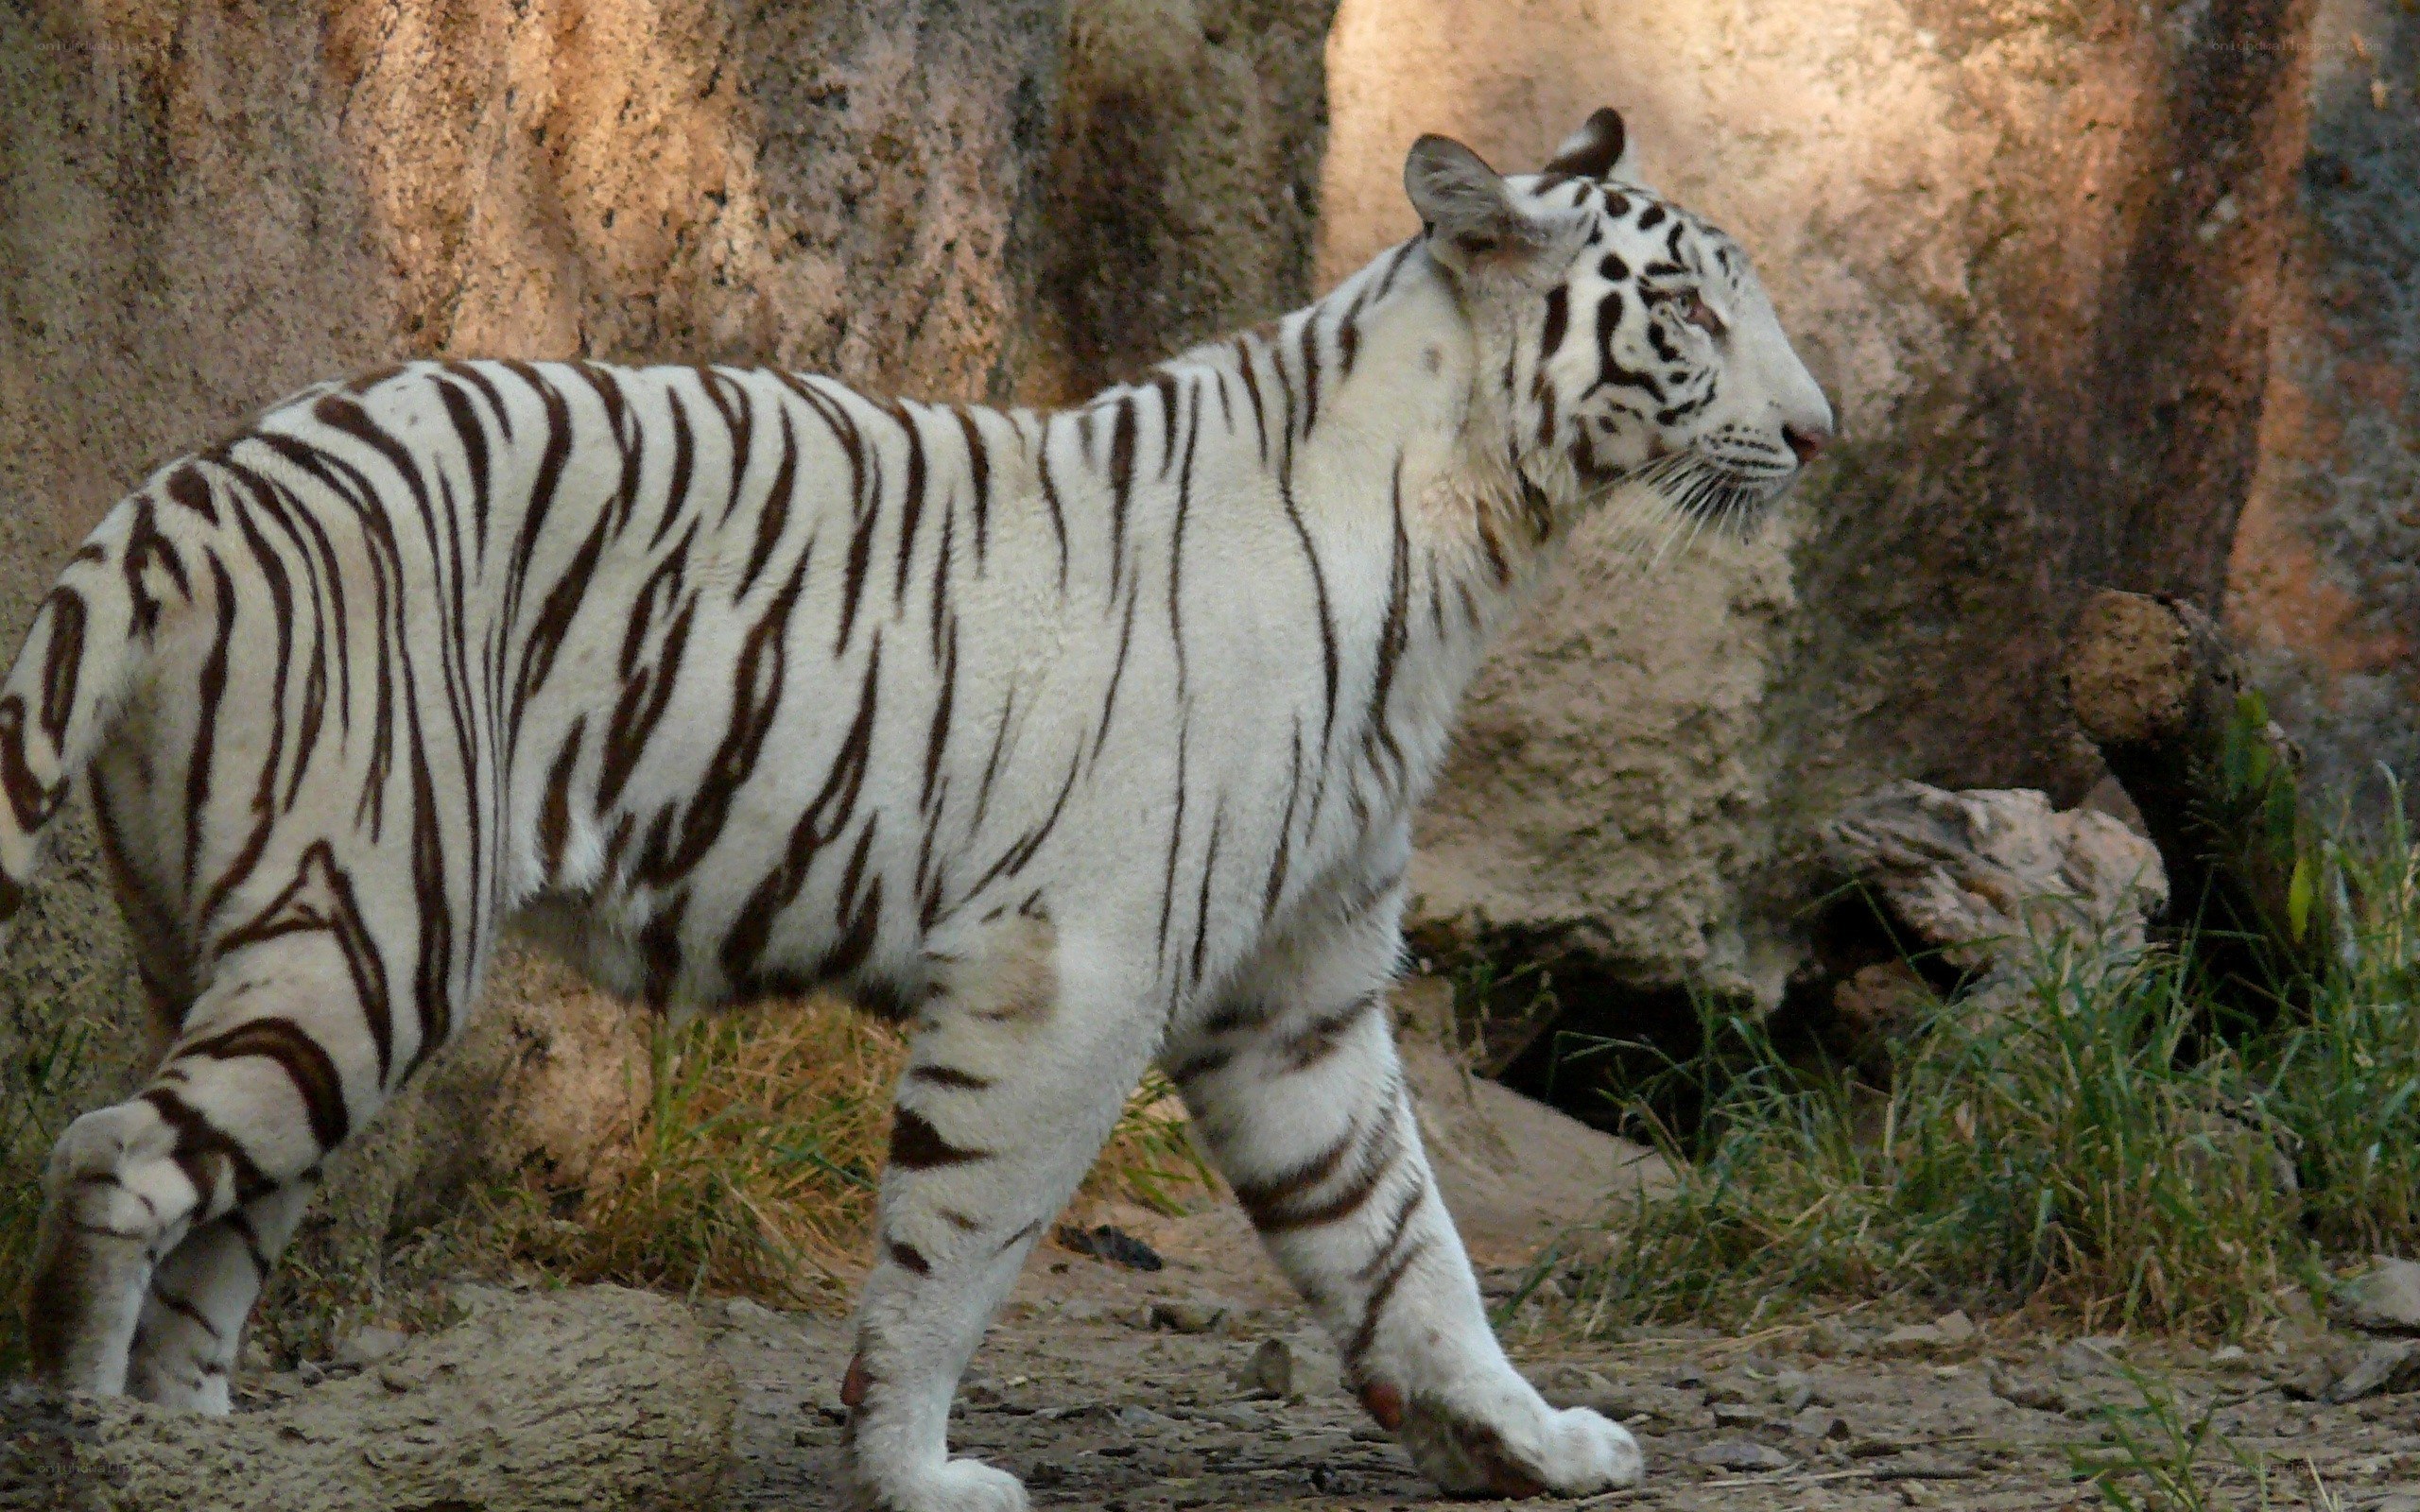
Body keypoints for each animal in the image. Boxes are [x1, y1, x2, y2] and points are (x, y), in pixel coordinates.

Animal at [11, 107, 1828, 1508]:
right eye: (1687, 305)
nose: (1820, 432)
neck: (1468, 543)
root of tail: (184, 490)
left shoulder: (1297, 995)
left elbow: (1402, 1243)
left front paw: (1530, 1439)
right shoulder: (1072, 973)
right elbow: (961, 1249)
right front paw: (915, 1472)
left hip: (284, 948)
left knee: (210, 1227)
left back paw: (207, 1449)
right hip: (368, 924)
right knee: (113, 1161)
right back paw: (104, 1442)